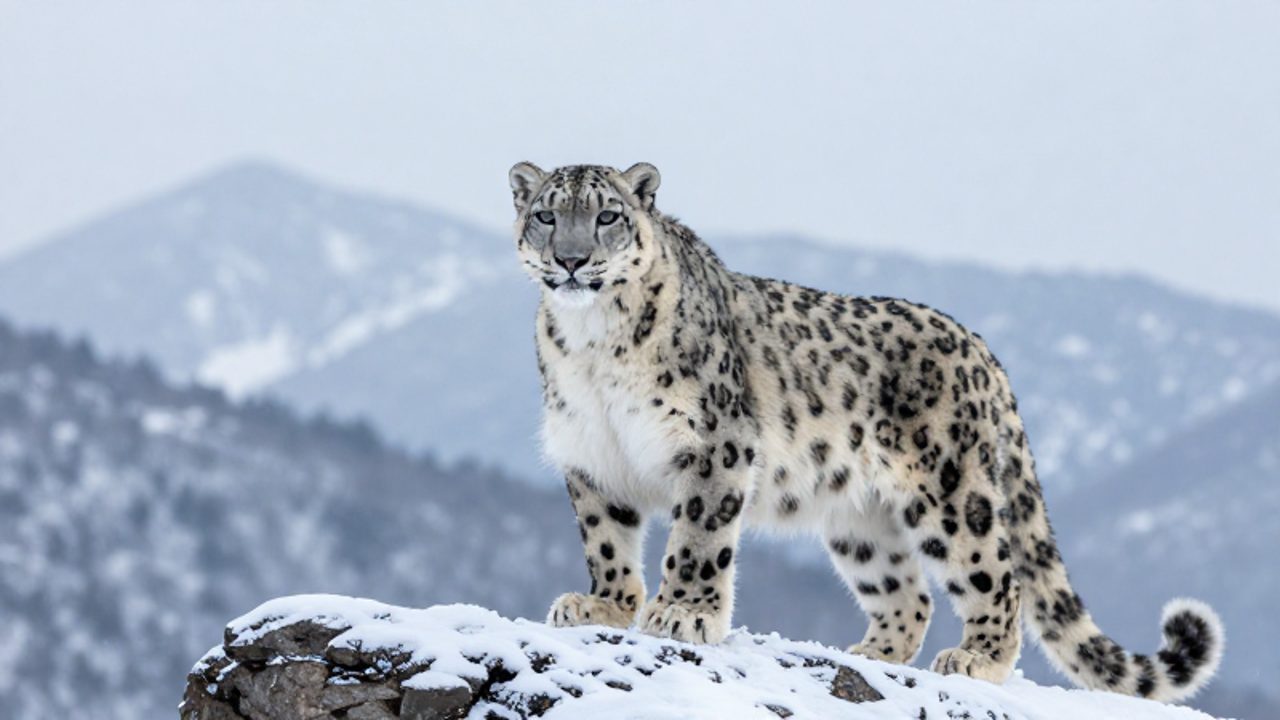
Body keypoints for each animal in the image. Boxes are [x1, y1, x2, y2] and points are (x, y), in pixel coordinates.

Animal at [507, 161, 1223, 702]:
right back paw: (871, 653)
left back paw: (977, 658)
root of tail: (981, 348)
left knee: (996, 574)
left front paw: (683, 611)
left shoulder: (715, 444)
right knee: (908, 594)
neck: (594, 343)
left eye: (607, 216)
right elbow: (606, 540)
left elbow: (698, 537)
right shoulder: (591, 455)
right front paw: (604, 605)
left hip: (952, 490)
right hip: (860, 522)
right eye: (546, 215)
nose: (571, 259)